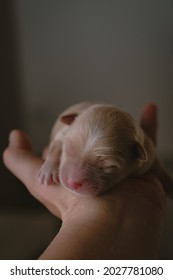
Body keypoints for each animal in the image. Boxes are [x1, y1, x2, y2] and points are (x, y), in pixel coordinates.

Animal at [37, 103, 173, 197]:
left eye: (109, 166)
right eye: (69, 148)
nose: (72, 183)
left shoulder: (149, 154)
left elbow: (159, 167)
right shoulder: (63, 133)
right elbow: (55, 145)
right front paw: (48, 171)